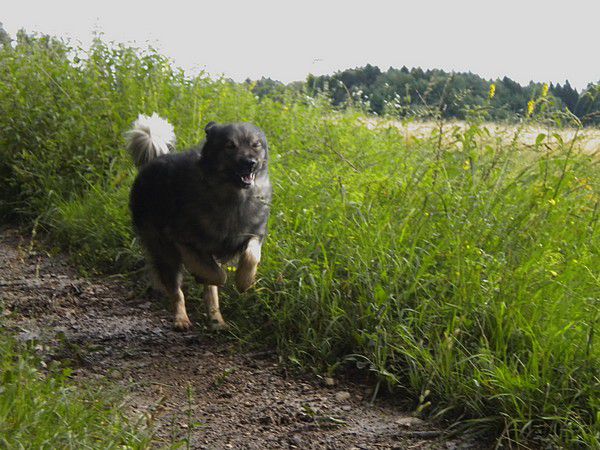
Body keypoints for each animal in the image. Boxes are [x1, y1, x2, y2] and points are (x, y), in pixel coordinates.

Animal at [126, 112, 272, 330]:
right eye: (230, 145)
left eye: (256, 145)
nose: (250, 163)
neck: (232, 198)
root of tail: (154, 161)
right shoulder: (182, 240)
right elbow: (216, 275)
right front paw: (211, 276)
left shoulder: (252, 233)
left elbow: (251, 255)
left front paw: (245, 281)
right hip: (164, 252)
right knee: (176, 291)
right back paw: (181, 319)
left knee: (209, 292)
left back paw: (217, 320)